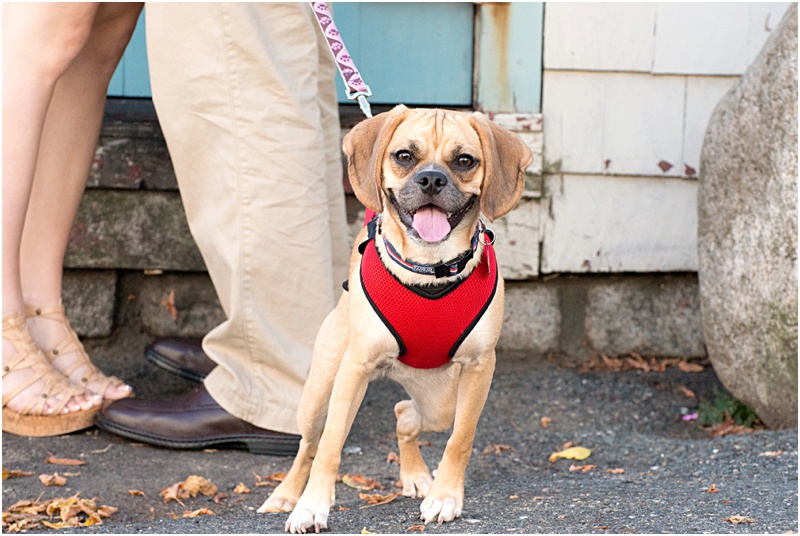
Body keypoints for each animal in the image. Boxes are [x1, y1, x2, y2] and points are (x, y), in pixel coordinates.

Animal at [258, 104, 532, 532]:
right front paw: (311, 506)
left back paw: (417, 475)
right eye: (404, 156)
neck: (429, 269)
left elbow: (460, 439)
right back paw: (286, 494)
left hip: (440, 403)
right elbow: (331, 444)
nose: (432, 179)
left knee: (405, 414)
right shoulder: (354, 369)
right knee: (309, 444)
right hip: (319, 393)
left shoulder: (479, 366)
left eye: (464, 161)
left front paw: (445, 497)